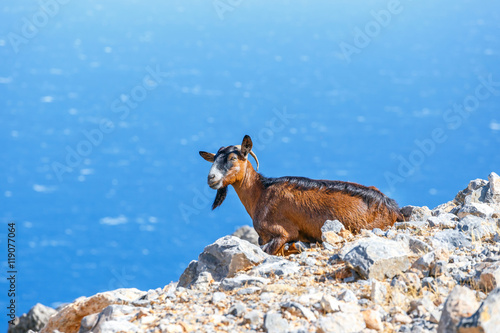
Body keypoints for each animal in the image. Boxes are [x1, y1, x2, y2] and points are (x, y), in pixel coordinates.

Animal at [198, 135, 402, 254]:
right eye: (214, 160)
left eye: (233, 158)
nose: (211, 178)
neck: (261, 193)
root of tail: (393, 208)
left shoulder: (281, 233)